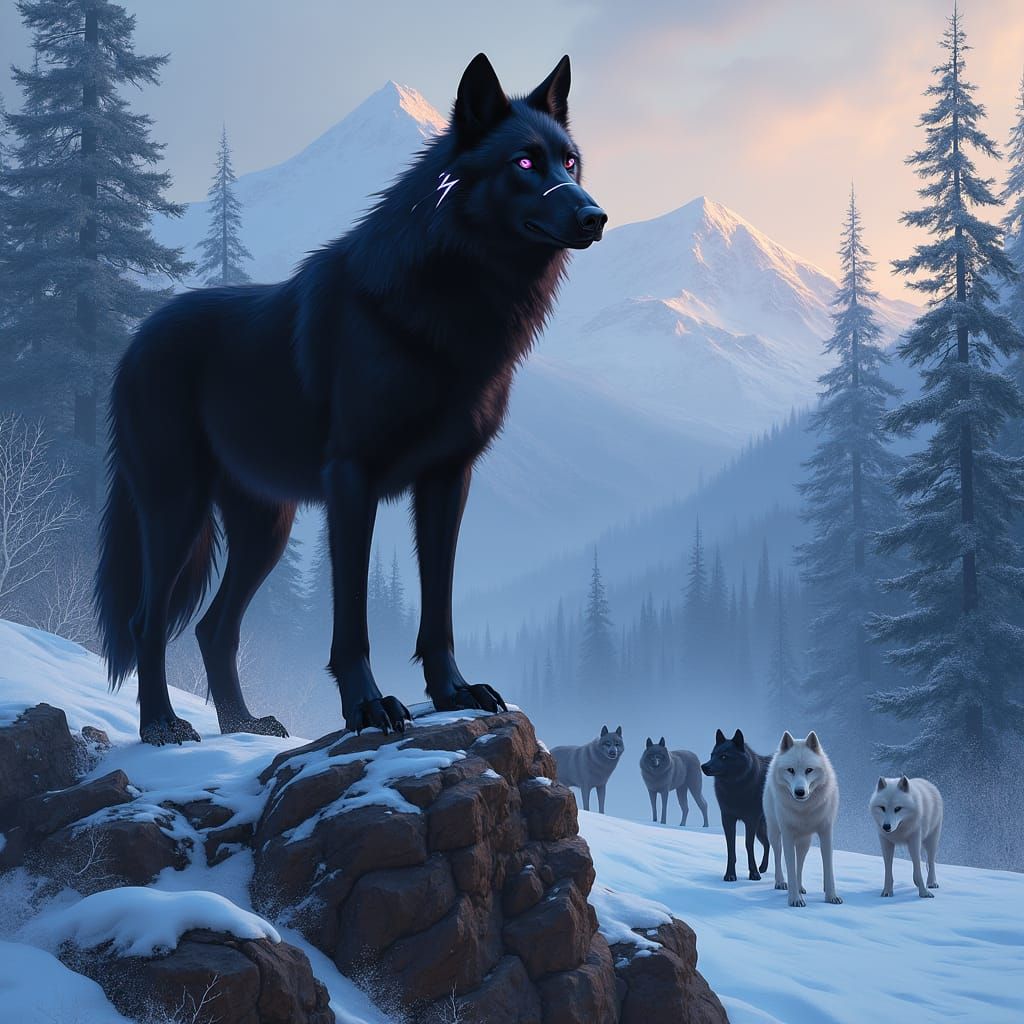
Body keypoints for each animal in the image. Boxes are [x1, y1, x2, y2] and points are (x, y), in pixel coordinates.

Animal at [93, 54, 606, 745]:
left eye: (570, 162)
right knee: (147, 622)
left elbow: (438, 608)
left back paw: (244, 725)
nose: (595, 216)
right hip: (178, 510)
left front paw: (452, 692)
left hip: (266, 528)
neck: (452, 306)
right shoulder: (351, 479)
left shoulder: (448, 479)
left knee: (213, 627)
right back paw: (163, 728)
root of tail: (136, 338)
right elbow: (353, 618)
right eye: (524, 163)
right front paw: (367, 707)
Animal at [701, 728, 771, 882]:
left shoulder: (751, 820)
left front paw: (754, 874)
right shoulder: (727, 819)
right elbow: (730, 848)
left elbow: (748, 845)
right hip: (761, 828)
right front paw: (730, 875)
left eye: (724, 757)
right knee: (768, 844)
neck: (736, 788)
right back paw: (763, 868)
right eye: (712, 755)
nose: (704, 766)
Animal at [763, 731, 842, 907]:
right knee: (778, 856)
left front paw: (831, 896)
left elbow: (828, 867)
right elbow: (789, 867)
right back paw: (781, 882)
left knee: (800, 863)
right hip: (774, 833)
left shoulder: (826, 832)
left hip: (804, 842)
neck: (804, 809)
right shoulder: (787, 835)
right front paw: (795, 899)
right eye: (790, 770)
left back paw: (800, 887)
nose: (800, 792)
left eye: (809, 770)